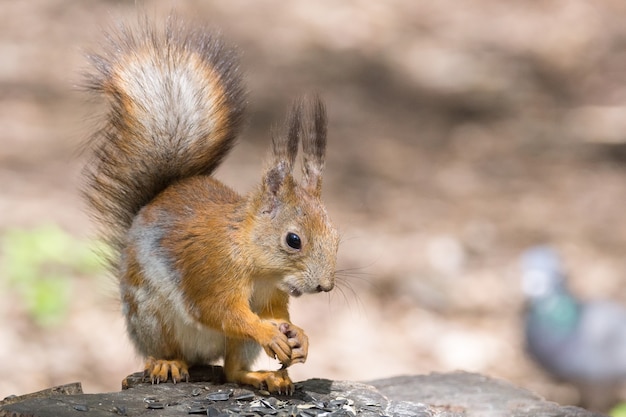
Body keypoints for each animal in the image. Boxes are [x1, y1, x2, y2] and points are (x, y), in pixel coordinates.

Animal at [83, 16, 338, 394]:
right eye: (294, 240)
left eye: (337, 237)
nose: (325, 286)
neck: (257, 264)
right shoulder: (212, 271)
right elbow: (219, 310)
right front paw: (267, 332)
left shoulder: (271, 296)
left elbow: (277, 315)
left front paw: (299, 336)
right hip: (152, 317)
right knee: (170, 351)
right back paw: (166, 364)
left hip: (235, 345)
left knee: (232, 371)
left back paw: (264, 376)